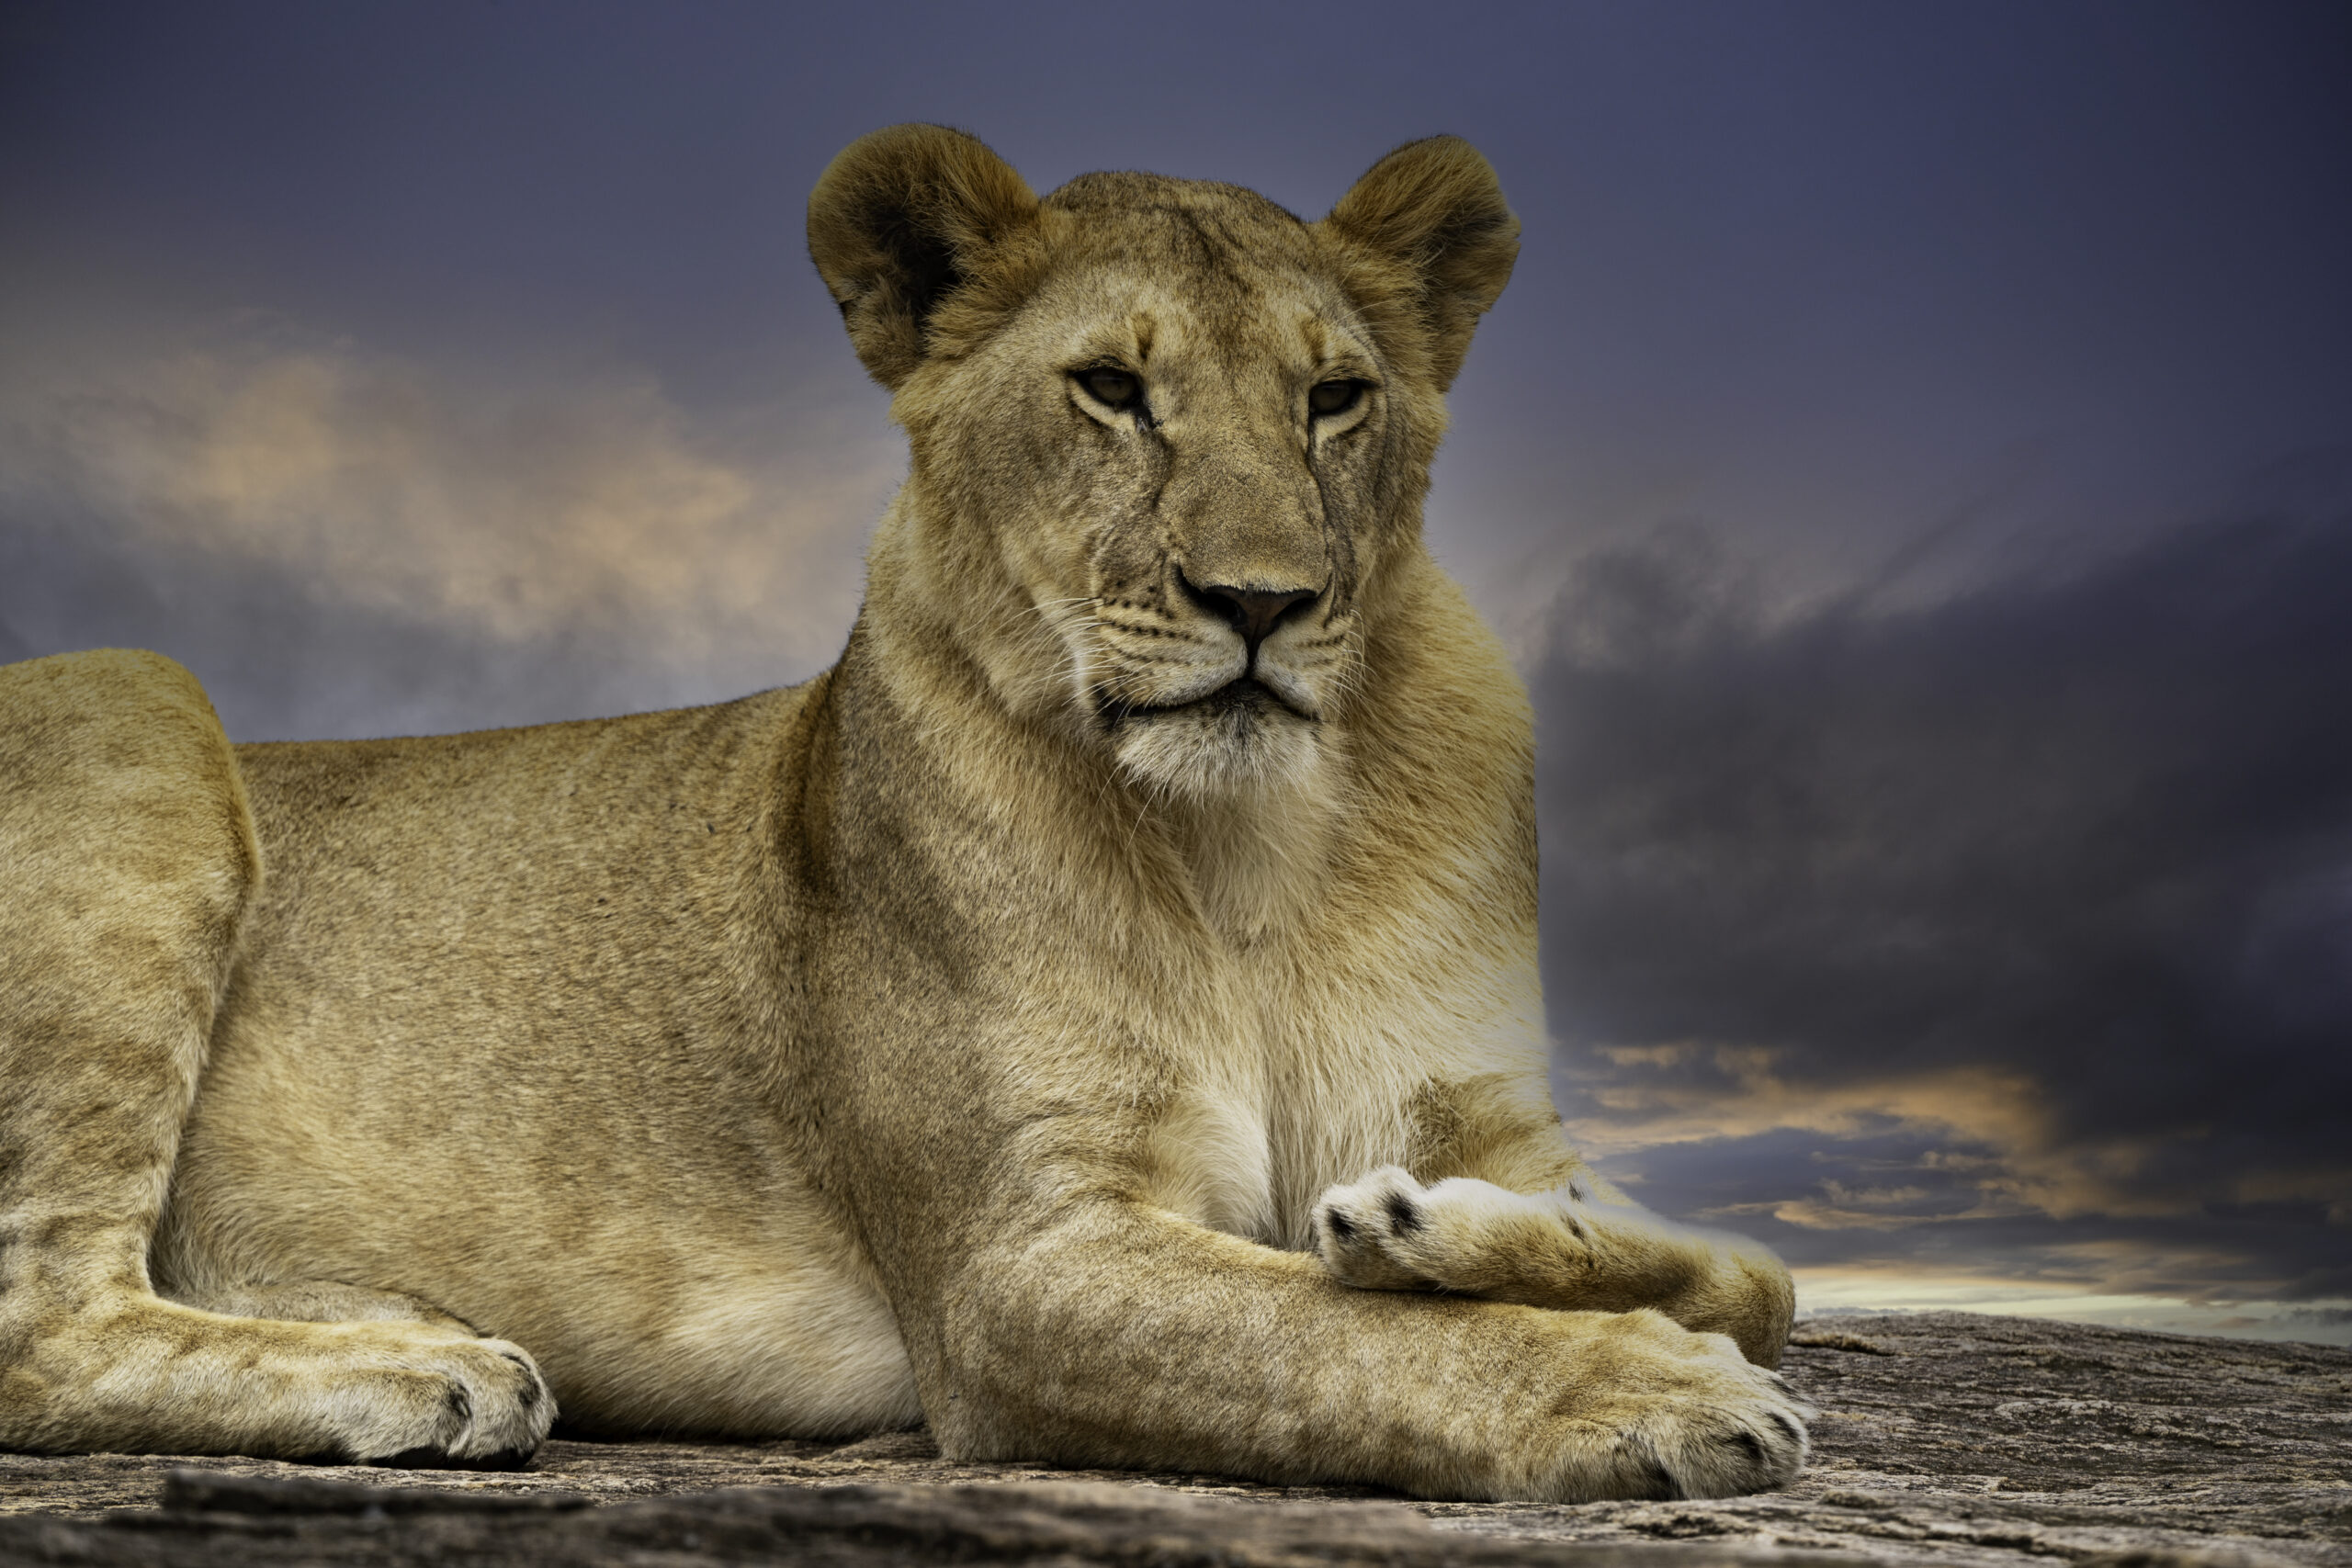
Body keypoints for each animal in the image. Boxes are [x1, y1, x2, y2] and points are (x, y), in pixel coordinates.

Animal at [0, 125, 1805, 1501]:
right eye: (1111, 389)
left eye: (1336, 398)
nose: (1261, 602)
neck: (1256, 849)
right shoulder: (1017, 1268)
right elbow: (1333, 1334)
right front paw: (1641, 1389)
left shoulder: (1492, 1113)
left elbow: (1754, 1270)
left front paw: (1435, 1227)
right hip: (135, 689)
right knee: (41, 1326)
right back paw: (419, 1374)